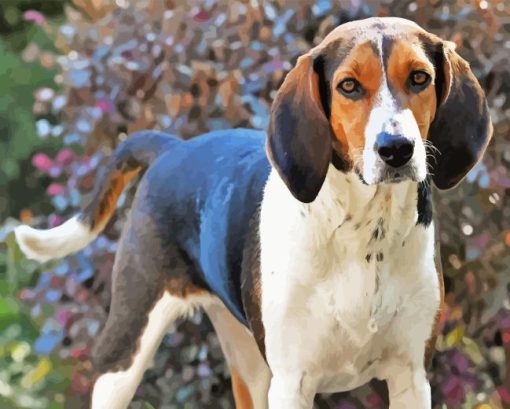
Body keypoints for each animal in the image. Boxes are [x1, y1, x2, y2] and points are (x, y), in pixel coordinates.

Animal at [15, 16, 492, 408]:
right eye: (349, 86)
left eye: (420, 78)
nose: (397, 149)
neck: (362, 235)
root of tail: (171, 148)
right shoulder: (294, 383)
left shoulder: (410, 376)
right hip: (127, 352)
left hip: (250, 367)